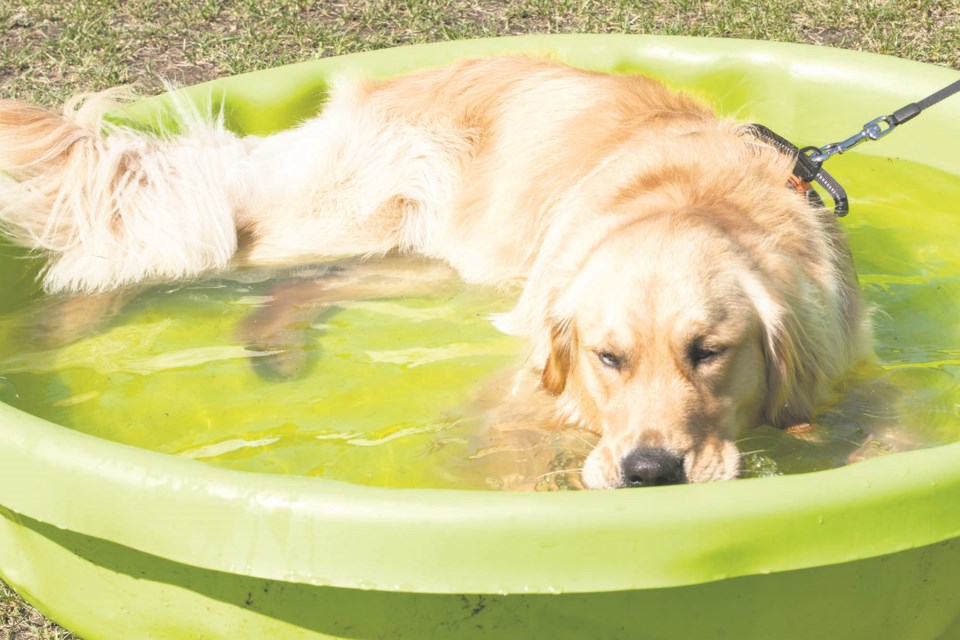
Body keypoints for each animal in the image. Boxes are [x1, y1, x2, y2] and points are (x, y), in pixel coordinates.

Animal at [0, 56, 872, 484]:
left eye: (710, 352)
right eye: (608, 358)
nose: (651, 472)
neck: (695, 201)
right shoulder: (525, 382)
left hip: (438, 265)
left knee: (299, 282)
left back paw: (273, 345)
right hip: (329, 220)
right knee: (188, 228)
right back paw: (60, 323)